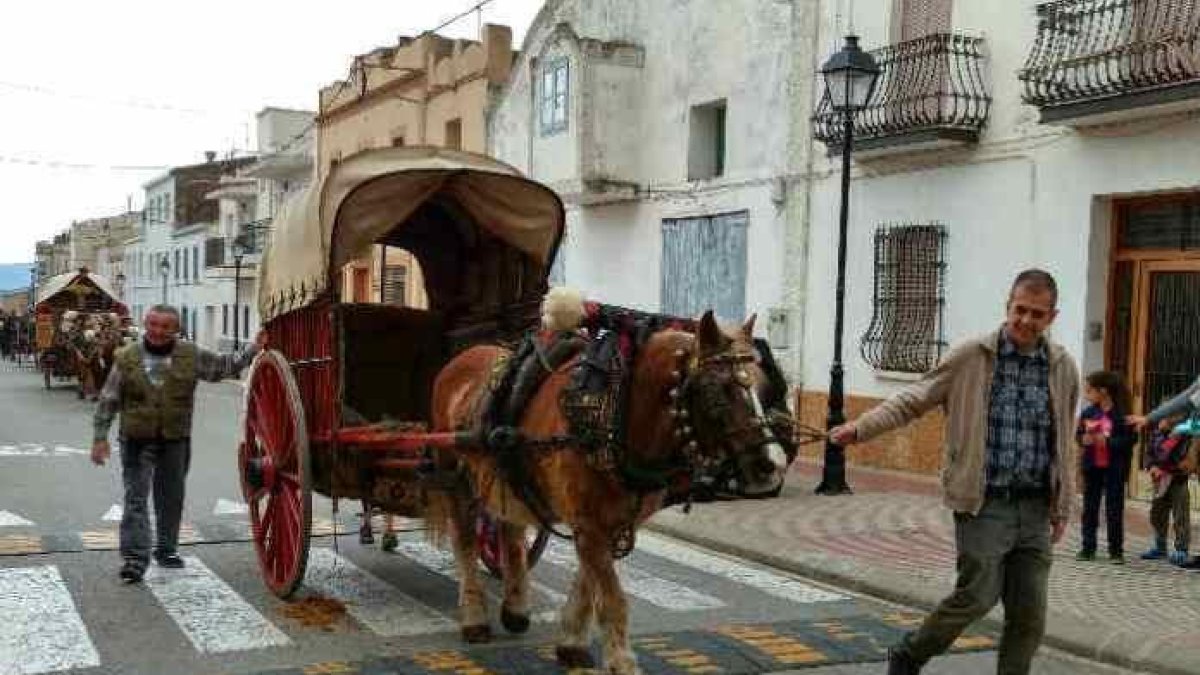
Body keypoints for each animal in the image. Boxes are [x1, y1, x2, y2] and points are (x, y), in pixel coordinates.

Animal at [426, 310, 789, 675]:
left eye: (764, 387)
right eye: (717, 391)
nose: (772, 464)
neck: (615, 411)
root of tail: (464, 357)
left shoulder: (612, 524)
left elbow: (588, 583)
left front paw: (571, 642)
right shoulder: (589, 524)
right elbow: (613, 597)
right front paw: (622, 661)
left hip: (506, 474)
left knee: (509, 530)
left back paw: (515, 608)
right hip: (455, 478)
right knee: (466, 543)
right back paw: (474, 618)